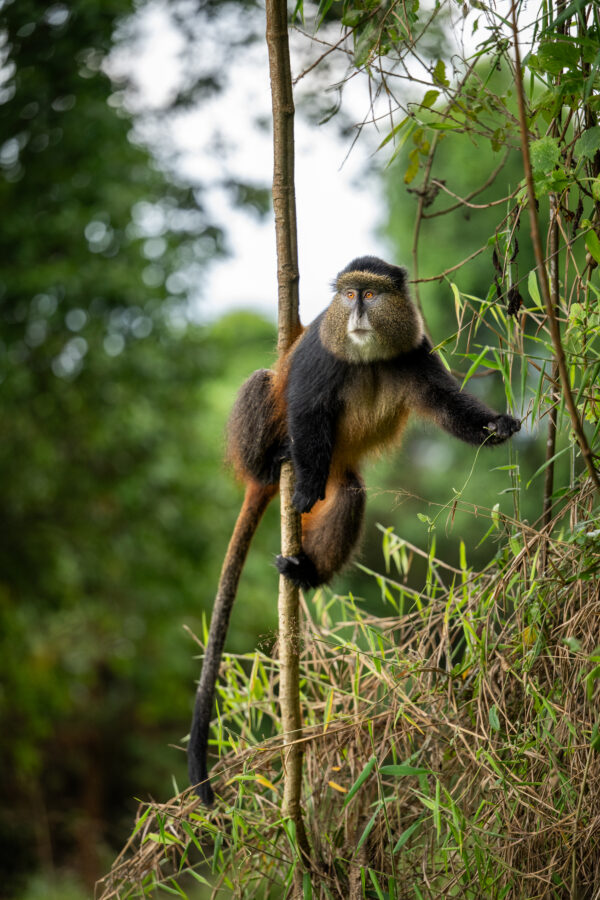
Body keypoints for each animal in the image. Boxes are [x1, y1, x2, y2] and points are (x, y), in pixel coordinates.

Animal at [188, 256, 520, 804]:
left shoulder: (416, 353)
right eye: (348, 294)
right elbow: (306, 407)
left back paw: (307, 571)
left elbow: (447, 404)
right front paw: (301, 489)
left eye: (372, 292)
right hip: (275, 446)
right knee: (262, 382)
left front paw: (497, 425)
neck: (364, 356)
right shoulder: (318, 360)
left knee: (350, 495)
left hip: (338, 473)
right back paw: (274, 464)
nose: (359, 310)